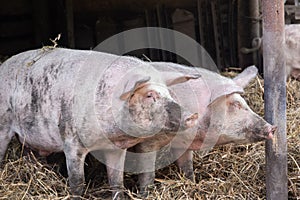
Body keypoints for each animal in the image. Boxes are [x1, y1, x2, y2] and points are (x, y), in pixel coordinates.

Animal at [0, 47, 200, 199]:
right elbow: (77, 183)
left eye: (168, 92)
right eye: (150, 95)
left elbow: (117, 182)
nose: (192, 115)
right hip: (3, 124)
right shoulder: (72, 141)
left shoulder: (116, 149)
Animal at [134, 63, 276, 195]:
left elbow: (187, 167)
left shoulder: (182, 144)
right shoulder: (147, 143)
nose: (272, 127)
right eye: (236, 104)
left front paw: (192, 182)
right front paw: (145, 194)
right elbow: (147, 172)